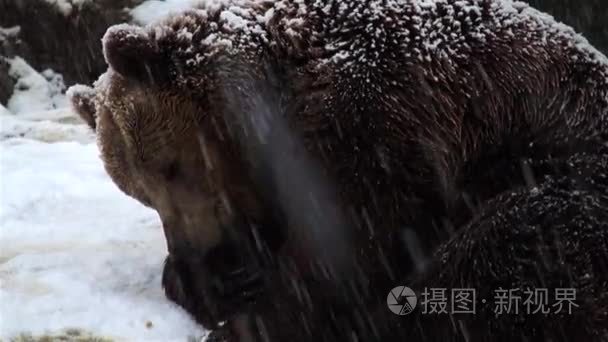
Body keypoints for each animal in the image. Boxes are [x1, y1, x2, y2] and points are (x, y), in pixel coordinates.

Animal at [69, 1, 608, 340]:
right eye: (140, 194)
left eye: (172, 168)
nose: (213, 260)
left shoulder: (377, 125)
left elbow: (342, 254)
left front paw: (249, 312)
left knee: (507, 241)